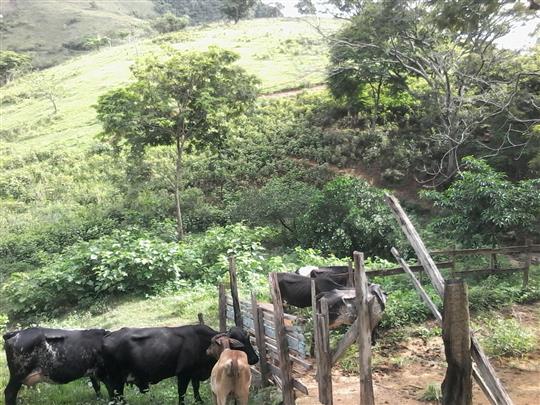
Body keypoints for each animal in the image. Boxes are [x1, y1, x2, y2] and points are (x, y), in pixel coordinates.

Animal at [100, 322, 258, 404]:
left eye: (248, 339)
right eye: (240, 343)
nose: (255, 359)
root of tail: (107, 336)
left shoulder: (194, 373)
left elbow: (195, 388)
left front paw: (199, 401)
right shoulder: (183, 373)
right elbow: (181, 392)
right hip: (116, 379)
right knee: (117, 396)